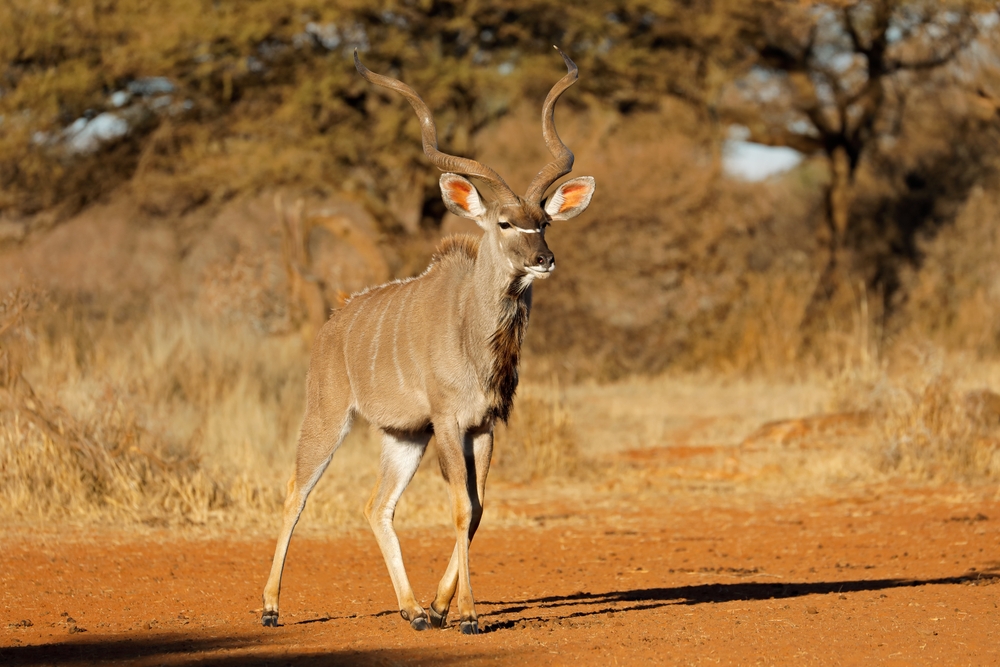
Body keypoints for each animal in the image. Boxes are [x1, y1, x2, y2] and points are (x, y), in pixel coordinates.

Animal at [262, 48, 596, 636]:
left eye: (545, 222)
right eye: (505, 222)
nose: (544, 259)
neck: (473, 335)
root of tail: (332, 322)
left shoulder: (482, 426)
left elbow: (478, 508)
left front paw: (440, 608)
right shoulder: (447, 421)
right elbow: (462, 506)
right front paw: (467, 616)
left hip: (403, 437)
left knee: (376, 507)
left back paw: (412, 610)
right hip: (328, 418)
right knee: (295, 494)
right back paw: (271, 608)